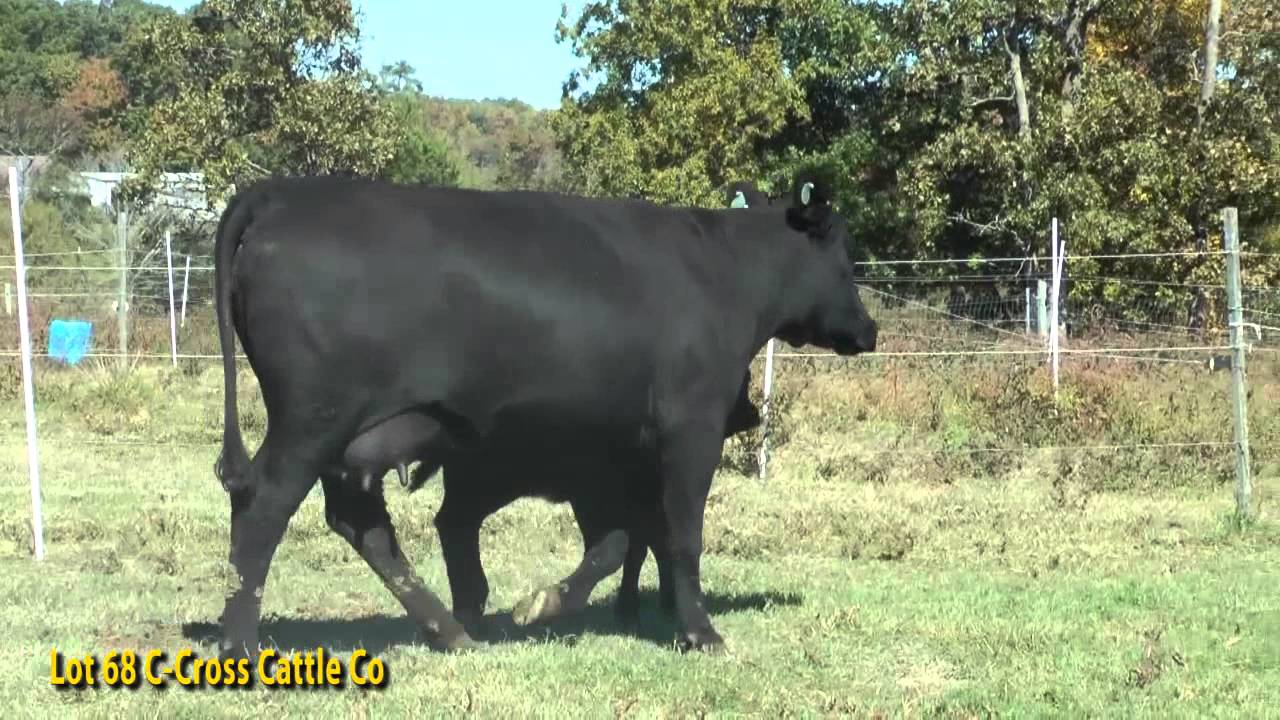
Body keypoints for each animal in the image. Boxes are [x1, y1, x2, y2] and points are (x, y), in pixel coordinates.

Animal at [211, 171, 877, 658]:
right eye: (845, 257)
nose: (869, 328)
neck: (721, 271)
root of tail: (281, 195)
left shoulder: (615, 450)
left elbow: (624, 539)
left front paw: (553, 603)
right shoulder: (691, 427)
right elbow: (680, 534)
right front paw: (700, 632)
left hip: (355, 439)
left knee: (362, 524)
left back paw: (452, 631)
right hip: (311, 422)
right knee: (264, 508)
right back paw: (242, 646)